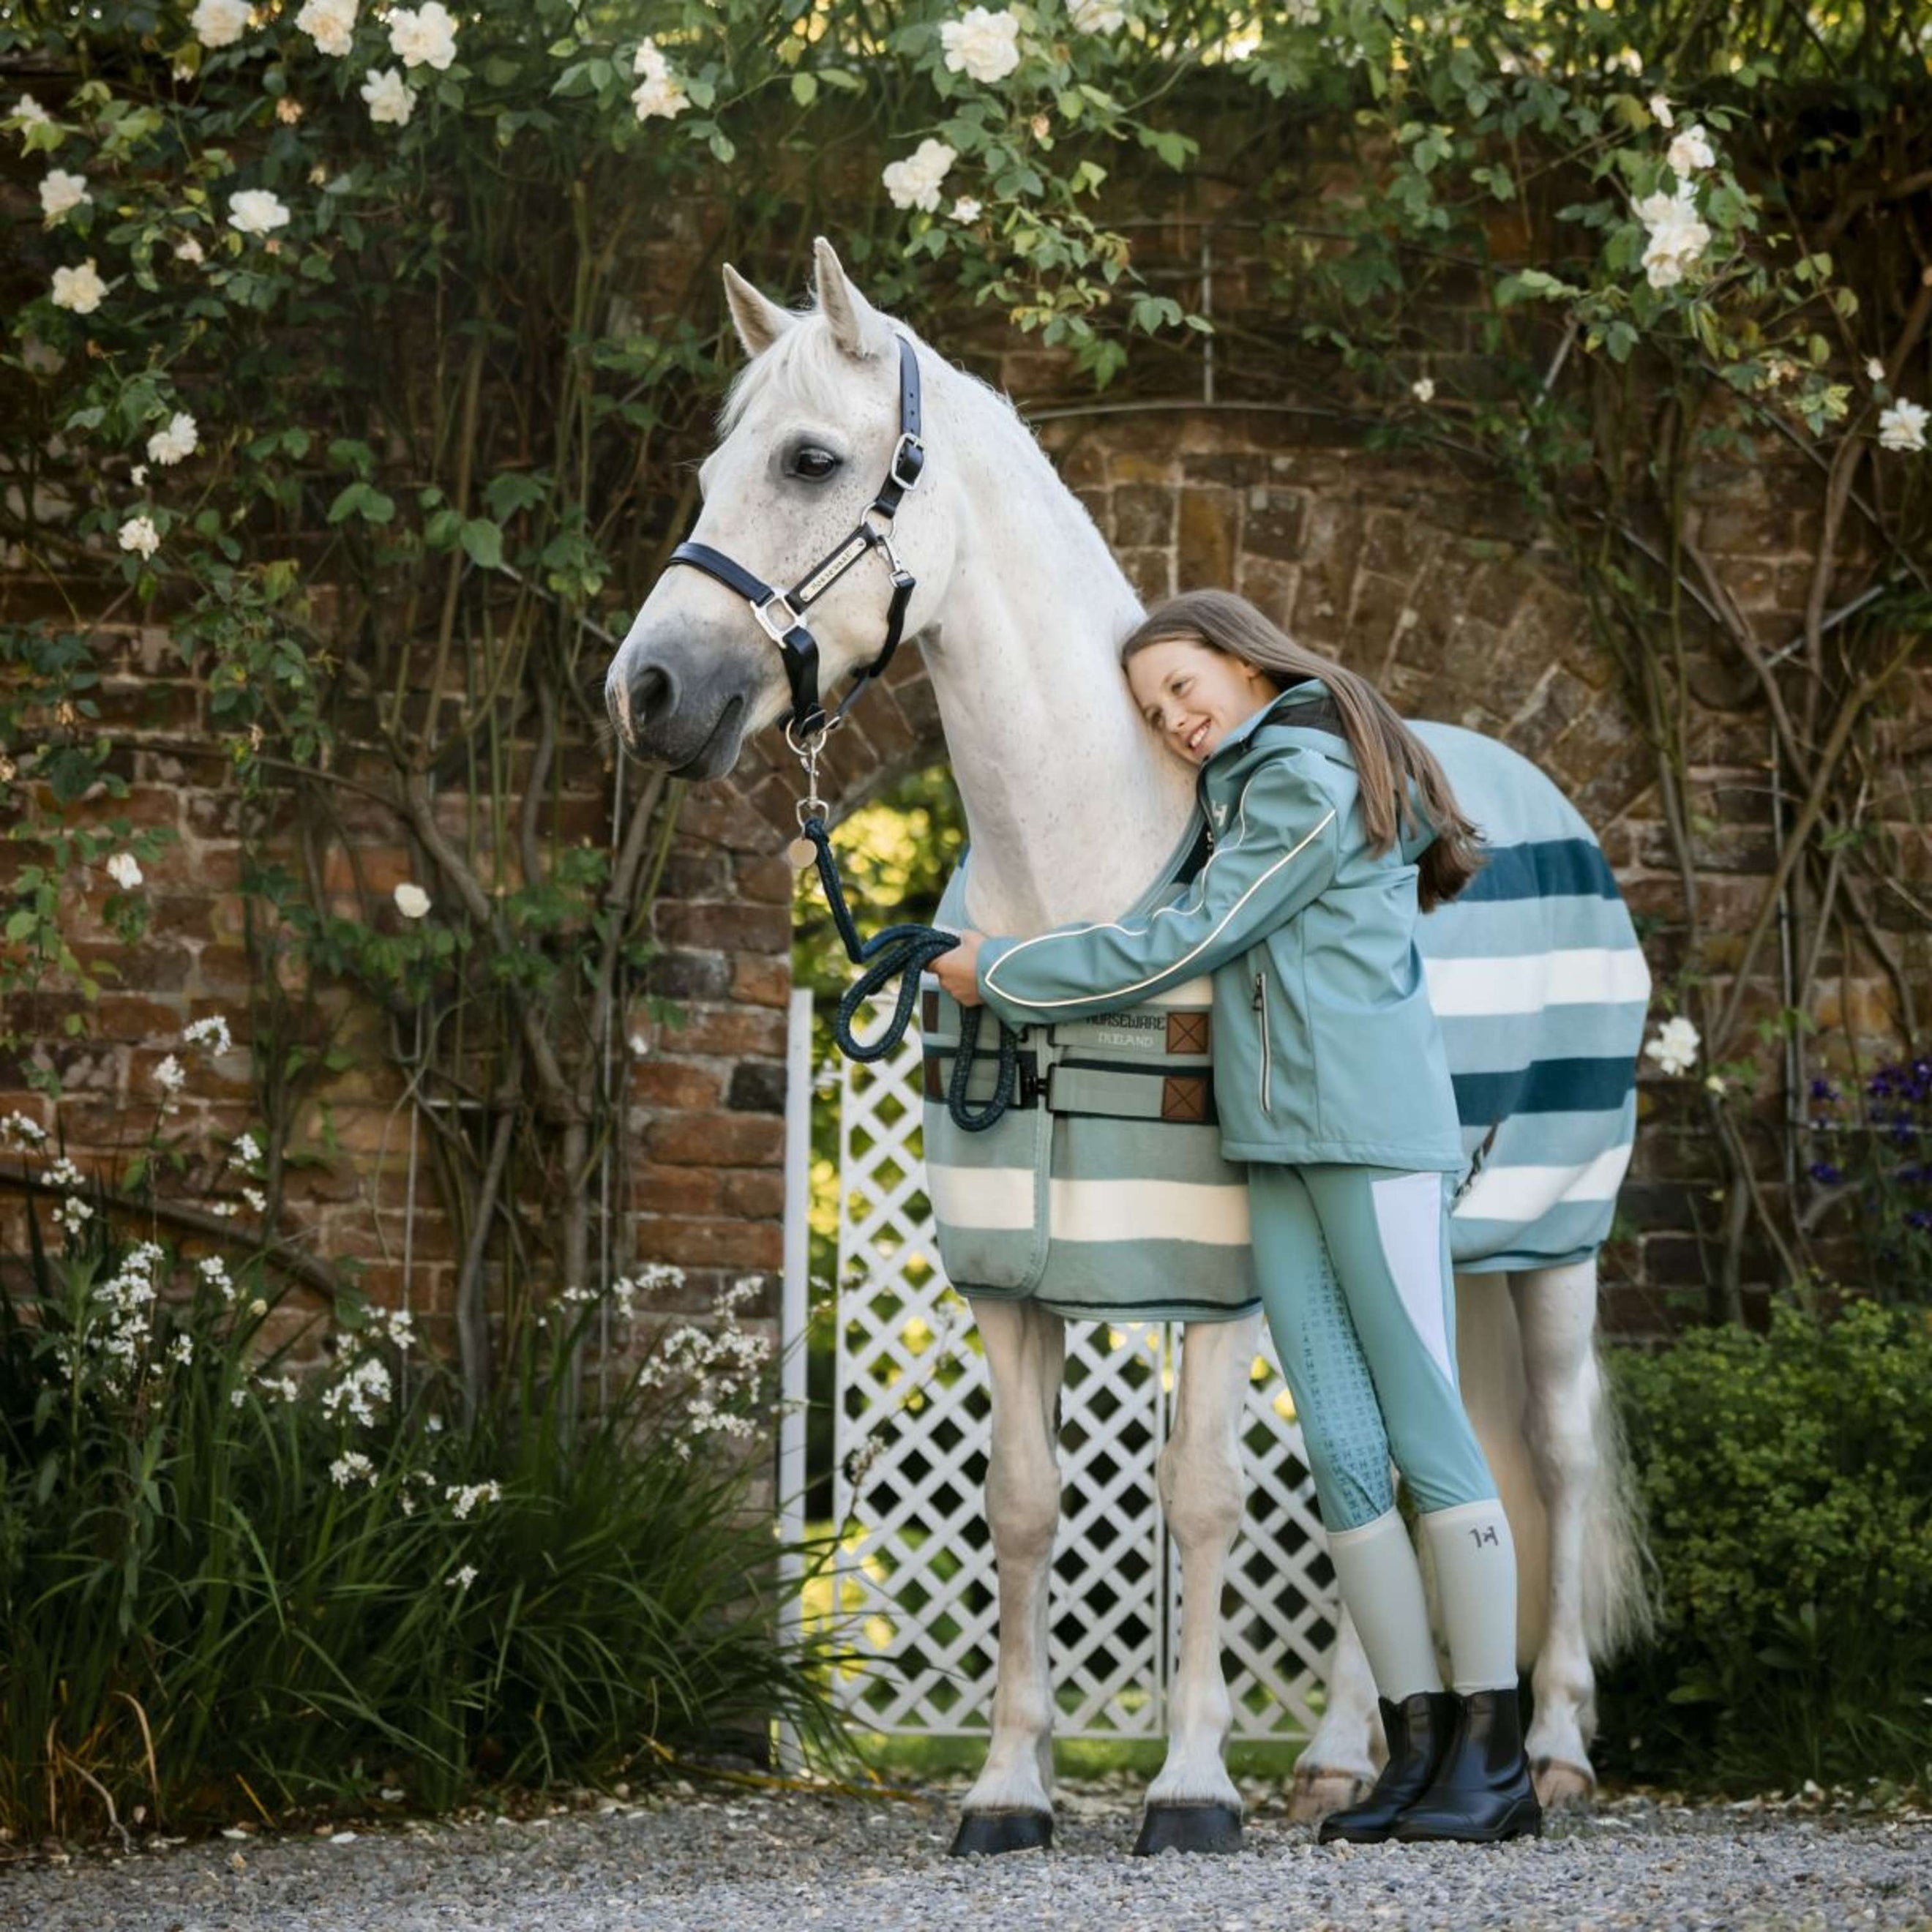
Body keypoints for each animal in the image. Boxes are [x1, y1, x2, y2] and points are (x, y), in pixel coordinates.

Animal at [605, 236, 1657, 1855]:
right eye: (716, 464)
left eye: (809, 459)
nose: (648, 692)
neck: (1084, 873)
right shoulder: (1012, 1280)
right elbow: (1027, 1507)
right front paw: (1007, 1789)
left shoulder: (1219, 1286)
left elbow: (1206, 1498)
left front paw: (1191, 1785)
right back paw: (1347, 1761)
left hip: (1554, 1242)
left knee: (1548, 1457)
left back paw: (1545, 1752)